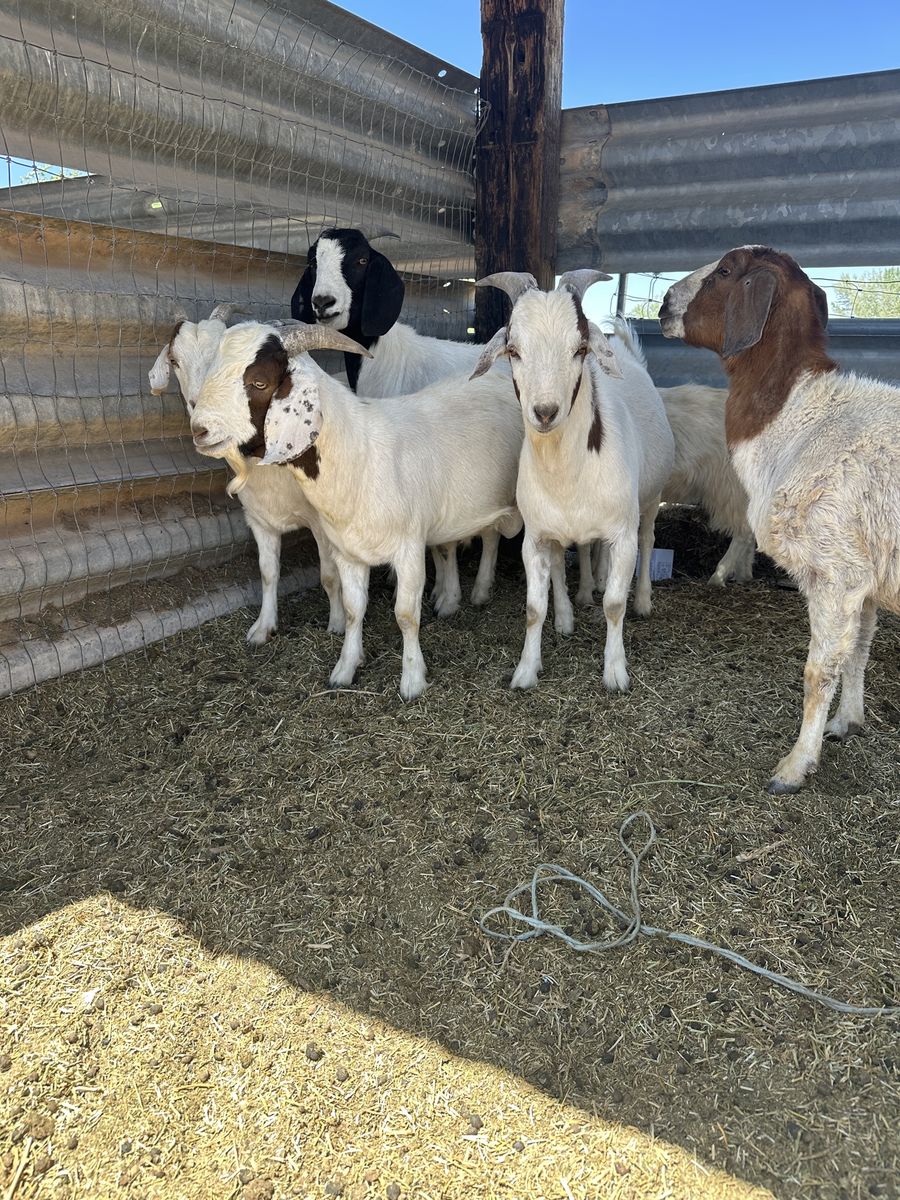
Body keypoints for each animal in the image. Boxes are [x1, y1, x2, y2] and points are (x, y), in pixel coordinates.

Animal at [148, 306, 353, 642]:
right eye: (175, 361)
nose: (201, 419)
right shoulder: (259, 518)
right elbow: (268, 574)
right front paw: (263, 628)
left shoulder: (323, 523)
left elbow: (329, 575)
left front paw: (335, 623)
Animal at [189, 322, 524, 700]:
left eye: (259, 382)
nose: (199, 430)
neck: (360, 454)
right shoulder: (347, 552)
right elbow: (352, 610)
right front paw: (345, 668)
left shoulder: (409, 548)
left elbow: (406, 614)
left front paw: (412, 680)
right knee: (491, 534)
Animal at [472, 272, 675, 692]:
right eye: (513, 350)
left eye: (580, 349)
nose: (545, 411)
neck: (566, 474)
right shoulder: (535, 536)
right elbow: (534, 607)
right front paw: (526, 670)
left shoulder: (622, 534)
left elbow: (614, 603)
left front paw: (615, 672)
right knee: (576, 554)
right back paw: (575, 604)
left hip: (651, 498)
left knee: (649, 540)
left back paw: (643, 600)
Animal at [659, 245, 900, 793]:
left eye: (726, 272)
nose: (662, 305)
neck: (798, 415)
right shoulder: (863, 578)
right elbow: (860, 649)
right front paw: (847, 722)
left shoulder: (835, 572)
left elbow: (819, 672)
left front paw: (795, 766)